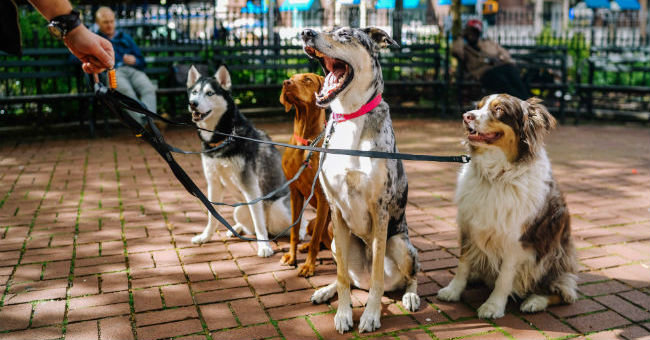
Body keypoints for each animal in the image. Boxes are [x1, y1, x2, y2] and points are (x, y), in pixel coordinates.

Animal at [186, 65, 306, 258]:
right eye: (194, 92)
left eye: (210, 93)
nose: (193, 103)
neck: (224, 137)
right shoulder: (213, 183)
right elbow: (212, 215)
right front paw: (205, 236)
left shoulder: (250, 186)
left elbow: (258, 222)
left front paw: (264, 247)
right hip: (239, 209)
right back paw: (237, 229)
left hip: (277, 208)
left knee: (297, 222)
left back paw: (298, 232)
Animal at [276, 73, 332, 278]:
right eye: (291, 78)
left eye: (307, 79)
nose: (286, 83)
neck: (306, 142)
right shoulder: (295, 193)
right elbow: (294, 231)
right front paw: (291, 257)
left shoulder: (323, 197)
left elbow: (315, 240)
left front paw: (308, 266)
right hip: (311, 222)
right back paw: (305, 246)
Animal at [300, 27, 420, 334]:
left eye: (344, 34)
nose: (306, 32)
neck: (350, 117)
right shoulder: (336, 210)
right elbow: (342, 276)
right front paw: (343, 314)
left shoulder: (380, 210)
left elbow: (377, 275)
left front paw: (370, 316)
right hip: (334, 242)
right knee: (350, 278)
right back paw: (325, 291)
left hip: (401, 245)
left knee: (410, 276)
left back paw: (411, 296)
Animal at [438, 94, 576, 320]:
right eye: (478, 106)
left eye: (499, 110)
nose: (466, 116)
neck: (496, 176)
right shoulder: (468, 225)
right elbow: (463, 264)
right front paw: (453, 290)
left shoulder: (516, 241)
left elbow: (504, 277)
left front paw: (493, 306)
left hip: (554, 255)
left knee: (565, 292)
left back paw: (535, 301)